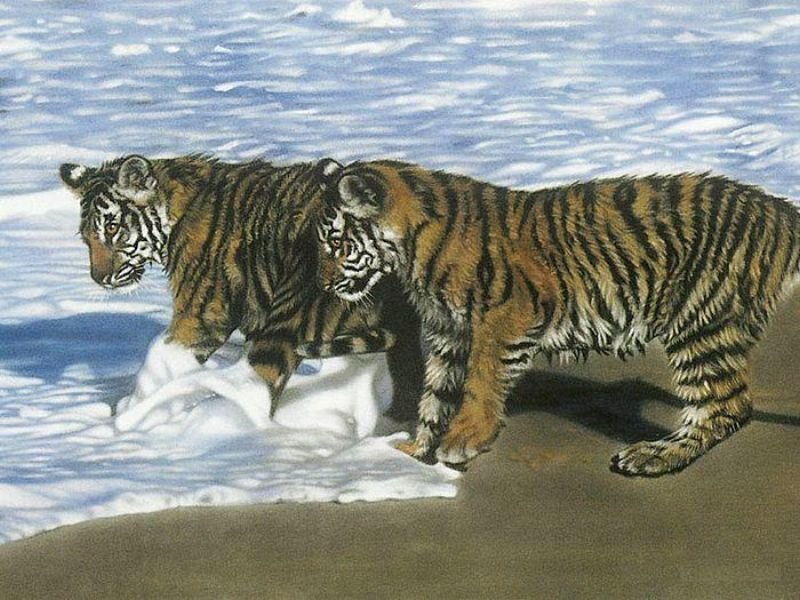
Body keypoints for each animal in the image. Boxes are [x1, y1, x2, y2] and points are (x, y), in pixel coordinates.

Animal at [59, 155, 421, 416]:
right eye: (87, 238)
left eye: (112, 228)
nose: (99, 278)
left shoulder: (200, 316)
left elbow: (158, 359)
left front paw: (126, 411)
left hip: (292, 314)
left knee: (256, 388)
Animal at [313, 160, 800, 477]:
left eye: (336, 242)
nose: (322, 284)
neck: (410, 250)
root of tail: (777, 208)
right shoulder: (448, 333)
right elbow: (435, 396)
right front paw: (417, 451)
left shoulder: (505, 317)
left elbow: (480, 380)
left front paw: (463, 439)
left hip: (701, 320)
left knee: (726, 405)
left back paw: (650, 457)